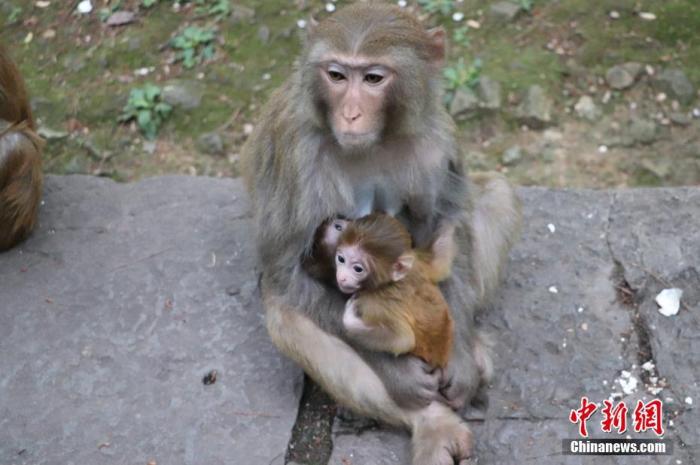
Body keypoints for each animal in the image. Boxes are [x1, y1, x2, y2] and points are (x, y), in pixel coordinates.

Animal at [241, 4, 520, 464]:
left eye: (373, 78)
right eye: (337, 75)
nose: (351, 114)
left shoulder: (436, 138)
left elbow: (446, 220)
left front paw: (461, 357)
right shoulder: (296, 153)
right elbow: (287, 268)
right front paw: (402, 376)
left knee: (496, 192)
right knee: (289, 318)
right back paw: (432, 422)